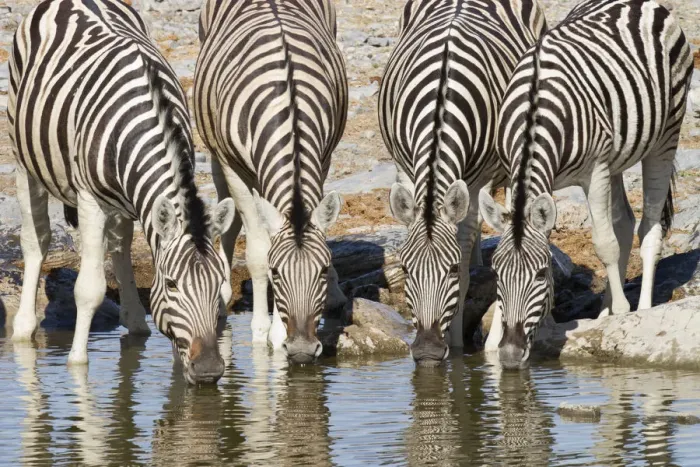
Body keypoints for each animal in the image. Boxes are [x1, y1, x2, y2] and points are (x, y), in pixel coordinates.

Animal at [8, 0, 235, 384]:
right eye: (171, 285)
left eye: (219, 283)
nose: (208, 371)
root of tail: (70, 1)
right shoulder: (88, 199)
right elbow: (89, 289)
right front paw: (77, 365)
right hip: (25, 158)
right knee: (35, 238)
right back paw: (24, 329)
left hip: (125, 201)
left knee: (119, 245)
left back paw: (135, 321)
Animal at [194, 0, 348, 363]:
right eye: (277, 273)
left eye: (322, 270)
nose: (303, 351)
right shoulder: (235, 168)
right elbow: (258, 251)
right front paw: (265, 331)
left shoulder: (322, 158)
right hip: (216, 151)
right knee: (228, 211)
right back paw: (222, 293)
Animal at [378, 0, 546, 365]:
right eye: (406, 270)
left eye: (452, 270)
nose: (427, 351)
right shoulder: (404, 167)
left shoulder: (478, 179)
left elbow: (465, 249)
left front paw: (455, 344)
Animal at [479, 0, 693, 369]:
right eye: (496, 272)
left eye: (541, 275)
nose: (510, 355)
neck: (534, 114)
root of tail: (642, 3)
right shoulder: (515, 173)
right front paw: (492, 343)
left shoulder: (596, 171)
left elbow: (604, 244)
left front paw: (622, 311)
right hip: (617, 159)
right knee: (624, 221)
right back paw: (604, 312)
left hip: (665, 136)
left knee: (648, 228)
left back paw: (641, 311)